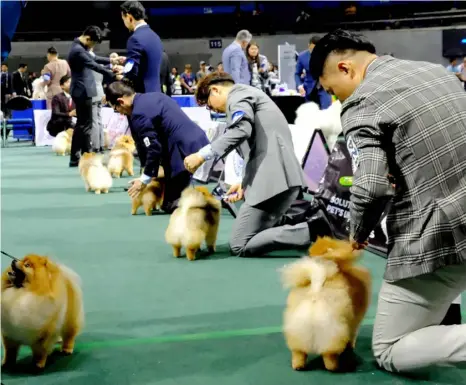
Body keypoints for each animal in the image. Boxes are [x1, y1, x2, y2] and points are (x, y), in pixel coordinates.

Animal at [280, 236, 372, 370]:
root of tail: (316, 290)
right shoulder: (355, 322)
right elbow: (353, 335)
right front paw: (351, 346)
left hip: (298, 332)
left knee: (298, 353)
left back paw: (298, 366)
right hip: (333, 334)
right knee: (329, 356)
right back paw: (335, 367)